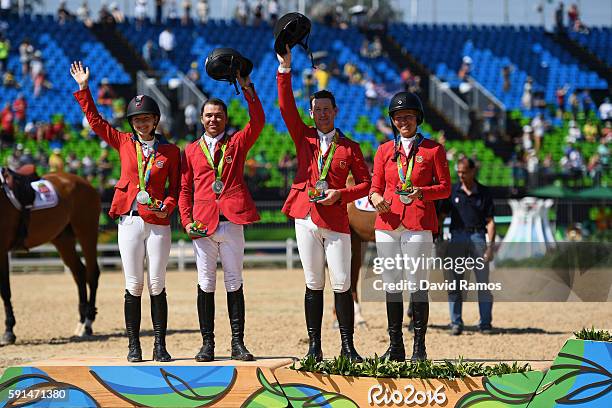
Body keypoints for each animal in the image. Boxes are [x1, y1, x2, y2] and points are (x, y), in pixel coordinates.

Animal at [0, 171, 100, 346]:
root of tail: (84, 182)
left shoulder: (2, 249)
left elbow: (5, 291)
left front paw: (9, 332)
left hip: (87, 233)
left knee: (92, 274)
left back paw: (87, 325)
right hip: (63, 239)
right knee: (79, 273)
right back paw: (80, 324)